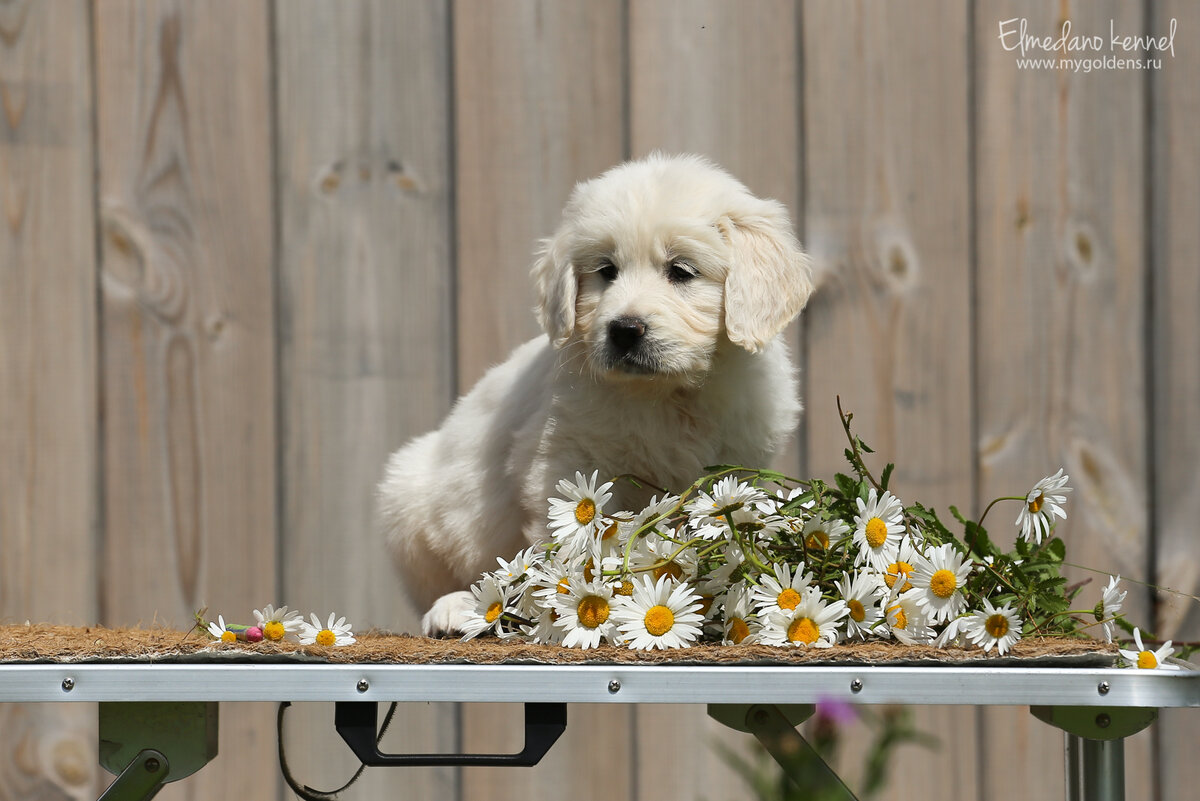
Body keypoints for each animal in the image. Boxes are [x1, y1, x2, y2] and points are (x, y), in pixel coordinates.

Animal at [379, 153, 816, 633]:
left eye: (681, 271)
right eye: (606, 271)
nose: (624, 330)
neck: (666, 392)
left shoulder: (739, 467)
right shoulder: (567, 460)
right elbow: (577, 548)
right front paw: (580, 608)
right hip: (409, 507)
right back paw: (455, 608)